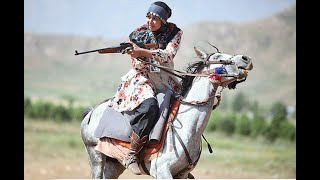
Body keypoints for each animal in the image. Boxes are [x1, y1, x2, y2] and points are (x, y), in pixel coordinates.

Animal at [80, 46, 252, 179]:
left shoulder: (182, 174)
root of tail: (91, 113)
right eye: (217, 57)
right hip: (96, 157)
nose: (246, 58)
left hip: (114, 164)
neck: (189, 128)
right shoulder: (162, 171)